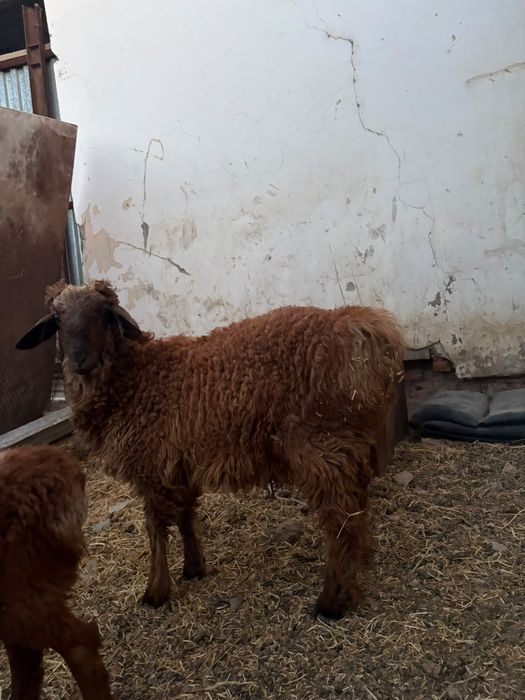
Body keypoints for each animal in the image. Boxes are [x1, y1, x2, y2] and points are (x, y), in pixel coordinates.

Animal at [17, 280, 405, 619]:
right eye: (57, 319)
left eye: (103, 314)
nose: (79, 359)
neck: (136, 379)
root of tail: (364, 328)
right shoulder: (178, 463)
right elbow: (186, 517)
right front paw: (193, 568)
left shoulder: (151, 464)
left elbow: (155, 528)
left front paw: (155, 591)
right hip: (350, 442)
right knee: (356, 505)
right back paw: (360, 562)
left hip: (320, 443)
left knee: (339, 517)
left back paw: (333, 601)